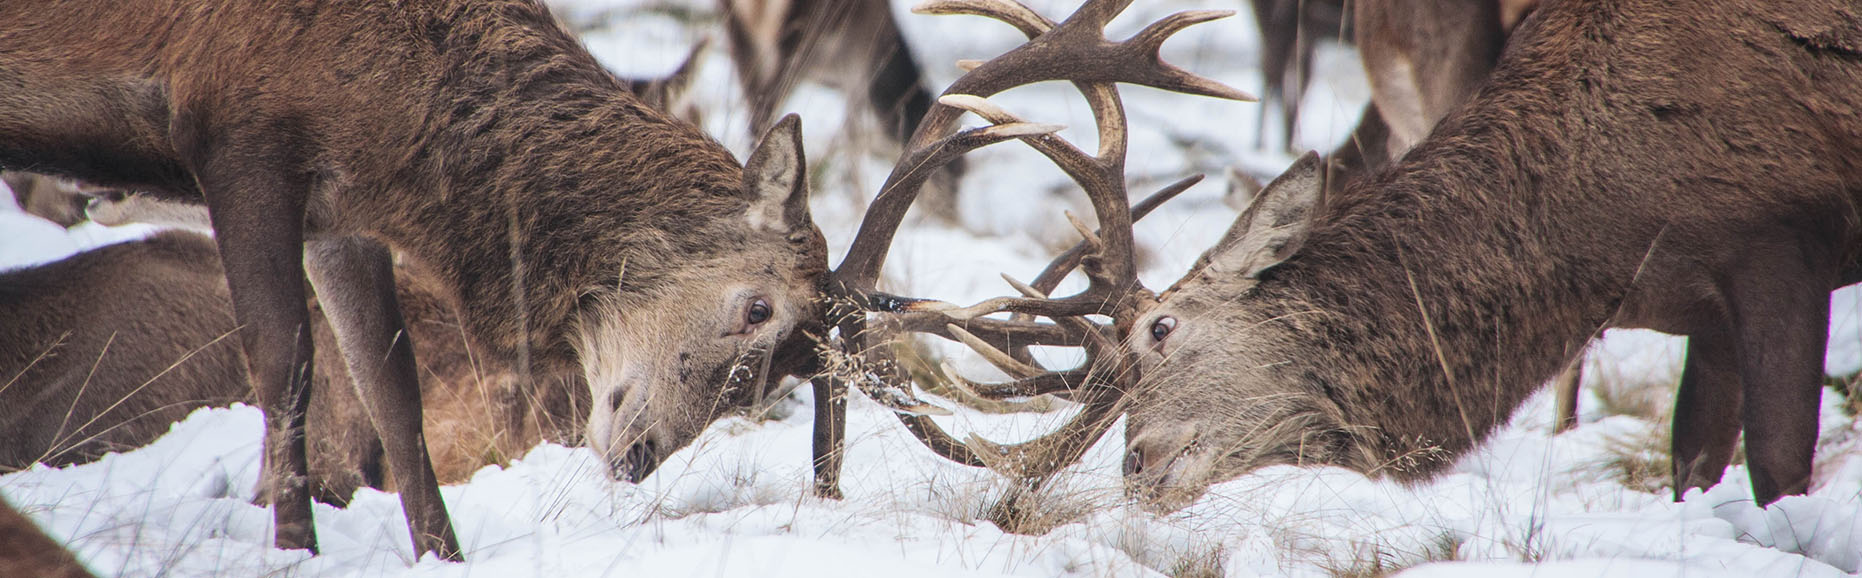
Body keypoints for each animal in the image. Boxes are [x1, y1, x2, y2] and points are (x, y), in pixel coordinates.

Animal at [0, 0, 821, 560]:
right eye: (758, 308)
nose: (643, 455)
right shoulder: (237, 140)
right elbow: (283, 364)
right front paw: (295, 549)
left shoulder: (339, 210)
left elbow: (391, 389)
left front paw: (442, 554)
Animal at [1078, 0, 1862, 512]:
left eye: (1161, 328)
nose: (1134, 465)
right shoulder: (1707, 308)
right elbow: (1694, 462)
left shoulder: (1781, 243)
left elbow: (1778, 465)